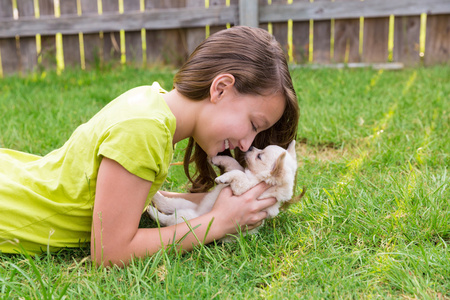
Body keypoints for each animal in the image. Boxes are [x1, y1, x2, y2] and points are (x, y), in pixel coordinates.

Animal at [146, 141, 298, 232]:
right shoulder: (240, 169)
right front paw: (216, 159)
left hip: (185, 218)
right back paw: (156, 195)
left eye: (259, 156)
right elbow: (233, 163)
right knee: (168, 204)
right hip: (183, 203)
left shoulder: (244, 187)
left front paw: (223, 178)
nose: (250, 147)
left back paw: (152, 211)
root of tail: (198, 212)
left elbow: (238, 174)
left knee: (167, 220)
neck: (256, 177)